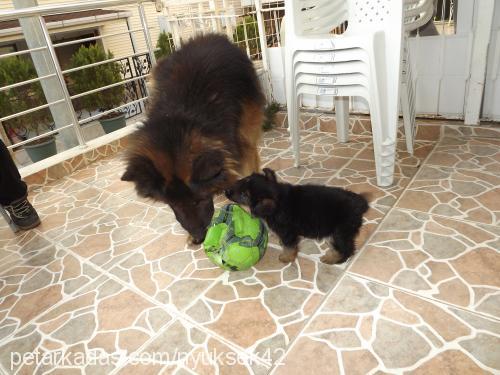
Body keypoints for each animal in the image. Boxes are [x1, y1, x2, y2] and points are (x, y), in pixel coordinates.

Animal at [121, 33, 266, 244]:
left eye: (198, 200)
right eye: (173, 204)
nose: (198, 238)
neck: (181, 116)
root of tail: (208, 36)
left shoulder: (240, 141)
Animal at [225, 169, 370, 266]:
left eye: (244, 195)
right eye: (244, 179)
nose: (226, 191)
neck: (277, 198)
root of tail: (360, 203)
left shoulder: (287, 232)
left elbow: (289, 246)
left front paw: (286, 257)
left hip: (340, 232)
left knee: (346, 249)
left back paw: (333, 259)